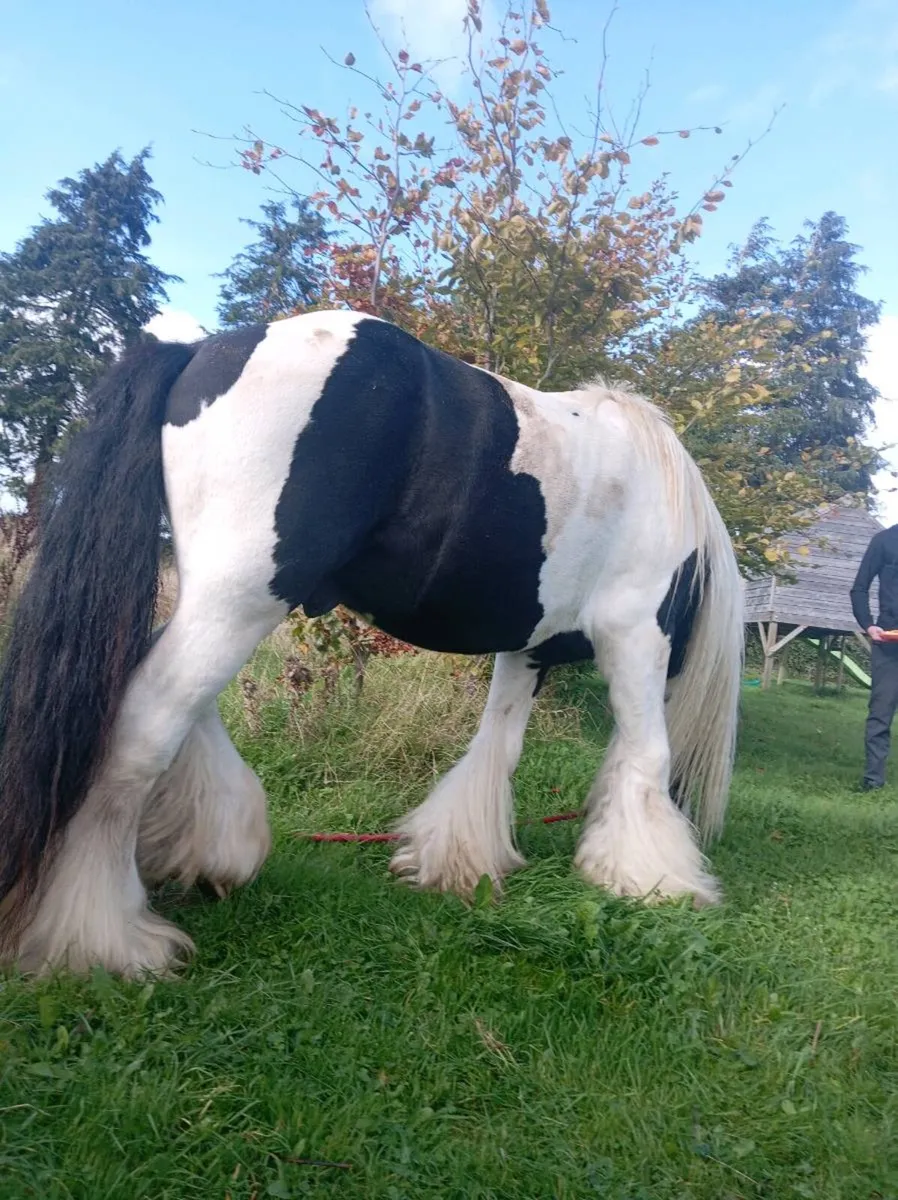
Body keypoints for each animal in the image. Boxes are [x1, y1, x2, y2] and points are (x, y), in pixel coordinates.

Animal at [0, 309, 744, 978]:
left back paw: (216, 849)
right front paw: (654, 878)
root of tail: (197, 349)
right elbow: (647, 757)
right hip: (240, 598)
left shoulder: (528, 649)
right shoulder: (635, 635)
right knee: (145, 724)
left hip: (218, 598)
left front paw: (456, 860)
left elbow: (496, 750)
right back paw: (103, 938)